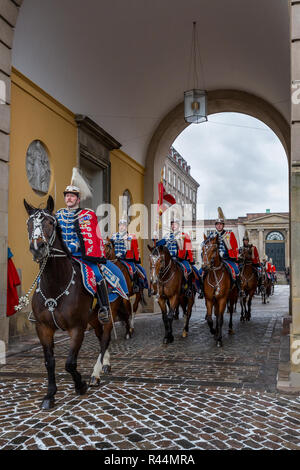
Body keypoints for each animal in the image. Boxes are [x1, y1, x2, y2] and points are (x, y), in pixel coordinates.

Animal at [23, 196, 131, 408]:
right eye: (29, 224)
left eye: (50, 222)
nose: (37, 248)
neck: (56, 285)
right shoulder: (43, 328)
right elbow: (49, 362)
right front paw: (50, 395)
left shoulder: (77, 328)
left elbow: (70, 363)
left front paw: (80, 384)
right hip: (93, 319)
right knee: (100, 338)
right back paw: (105, 365)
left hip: (107, 315)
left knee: (104, 340)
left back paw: (95, 374)